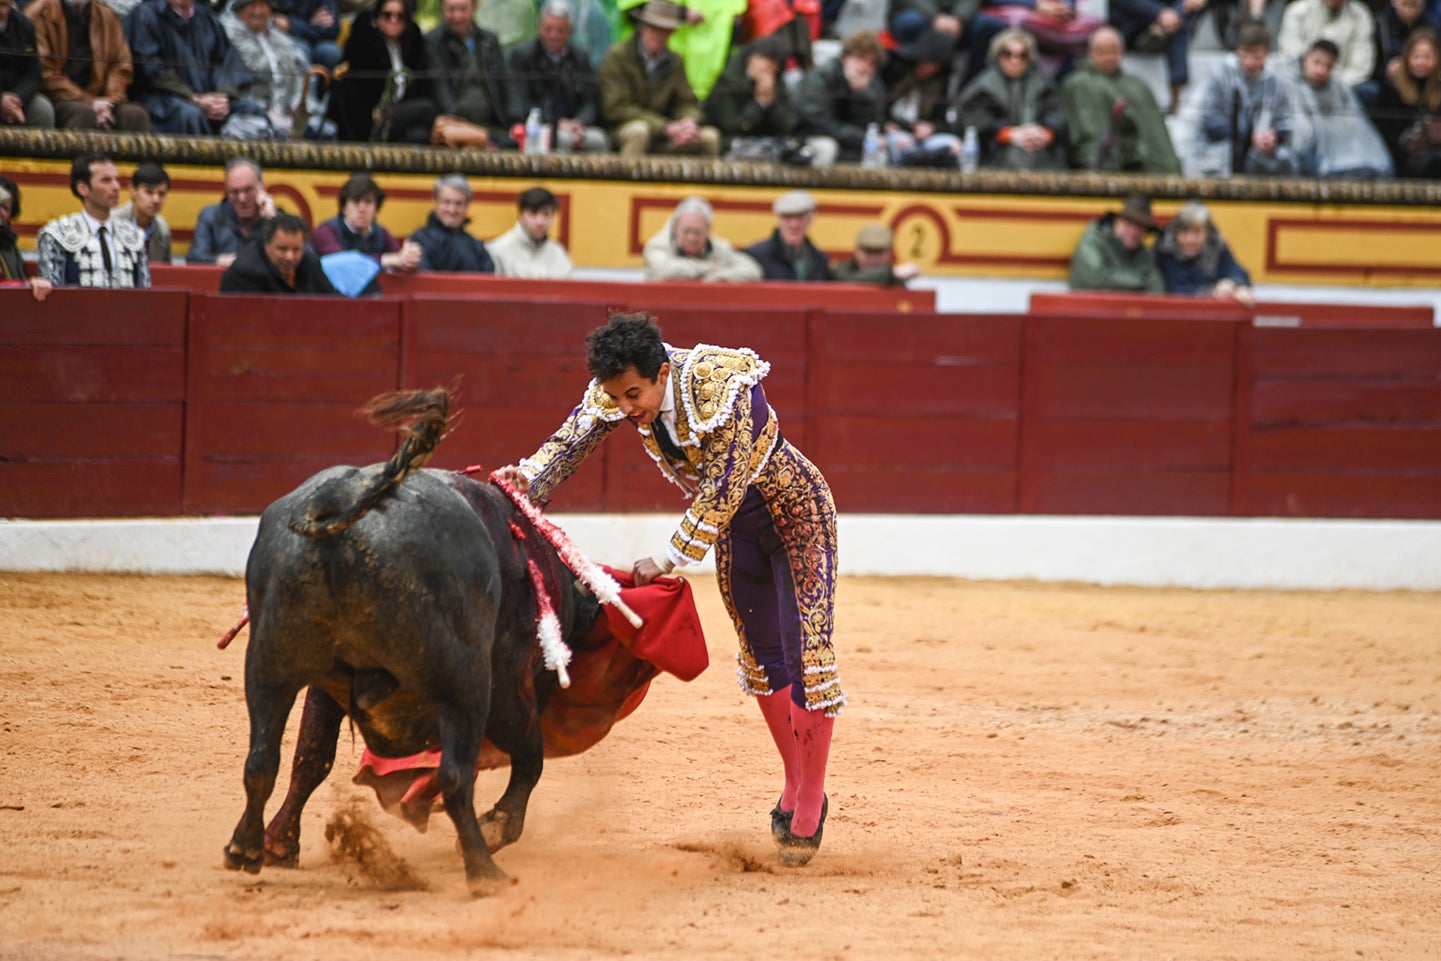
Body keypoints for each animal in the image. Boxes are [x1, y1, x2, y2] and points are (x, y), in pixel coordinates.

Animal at [217, 386, 596, 899]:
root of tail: (345, 498)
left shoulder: (324, 684)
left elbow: (311, 758)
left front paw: (280, 843)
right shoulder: (509, 681)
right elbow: (529, 759)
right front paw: (499, 826)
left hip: (269, 661)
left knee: (262, 758)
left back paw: (245, 848)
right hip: (466, 683)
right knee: (457, 777)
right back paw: (484, 870)